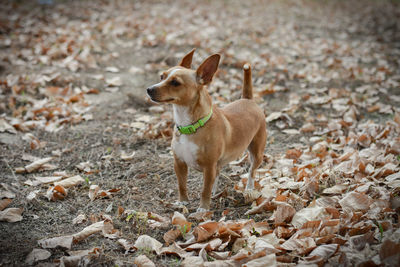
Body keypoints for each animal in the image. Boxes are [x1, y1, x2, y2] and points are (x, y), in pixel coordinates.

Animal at [146, 49, 266, 214]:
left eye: (175, 83)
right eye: (162, 77)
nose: (149, 89)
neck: (190, 126)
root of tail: (248, 100)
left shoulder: (208, 168)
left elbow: (205, 189)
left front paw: (203, 208)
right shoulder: (179, 163)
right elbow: (181, 185)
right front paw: (183, 202)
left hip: (256, 153)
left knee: (252, 171)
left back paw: (249, 188)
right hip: (219, 162)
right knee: (218, 172)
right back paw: (216, 192)